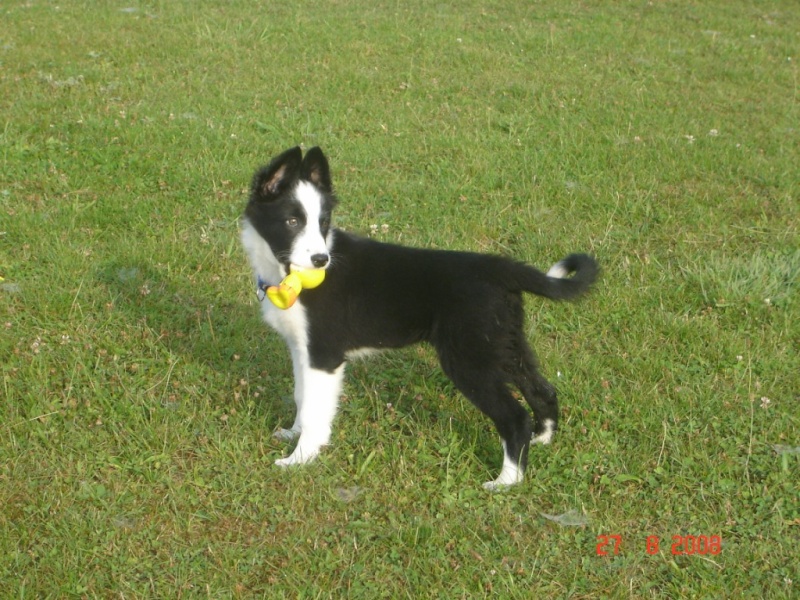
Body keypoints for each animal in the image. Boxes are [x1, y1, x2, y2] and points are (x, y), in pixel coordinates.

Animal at [241, 148, 596, 490]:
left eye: (323, 222)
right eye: (292, 221)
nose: (321, 260)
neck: (285, 273)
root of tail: (501, 269)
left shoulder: (324, 355)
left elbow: (316, 409)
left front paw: (300, 459)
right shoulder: (301, 349)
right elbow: (302, 396)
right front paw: (292, 433)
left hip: (469, 359)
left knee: (514, 416)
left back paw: (506, 482)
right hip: (504, 344)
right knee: (543, 389)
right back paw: (542, 439)